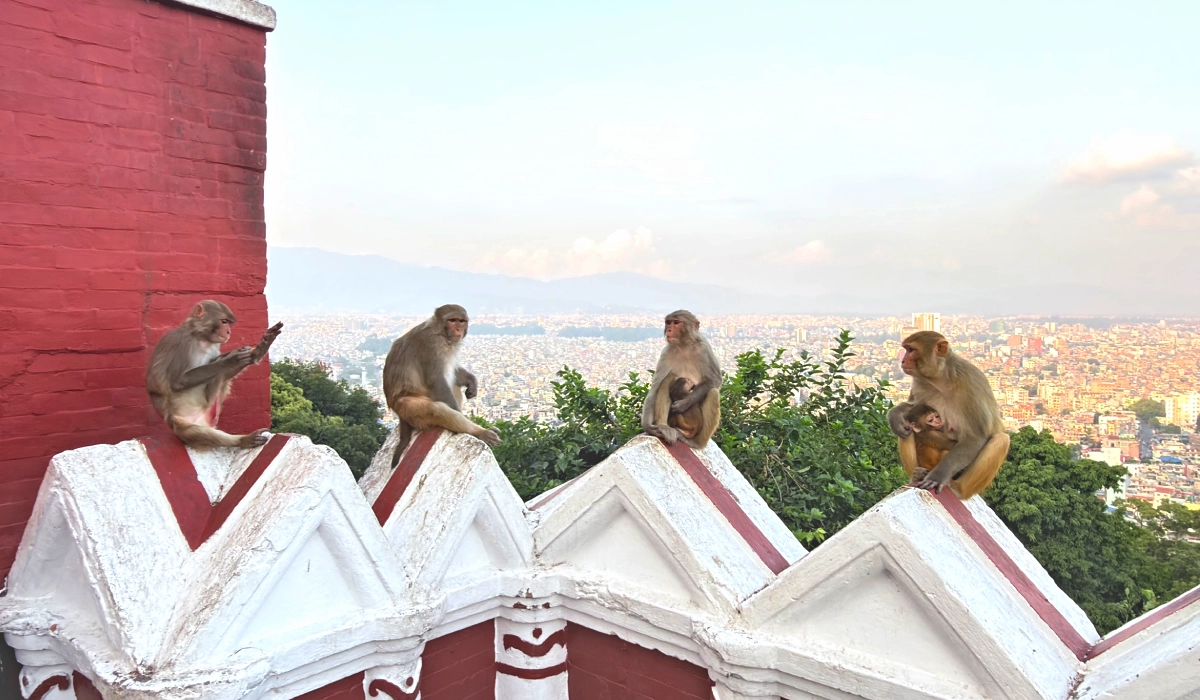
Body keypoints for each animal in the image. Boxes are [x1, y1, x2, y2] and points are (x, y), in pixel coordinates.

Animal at [146, 300, 283, 448]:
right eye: (224, 321)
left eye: (229, 323)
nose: (229, 331)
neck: (200, 337)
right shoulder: (181, 342)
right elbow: (177, 381)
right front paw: (232, 359)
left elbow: (217, 362)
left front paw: (257, 350)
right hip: (182, 424)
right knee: (195, 432)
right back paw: (243, 440)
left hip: (211, 405)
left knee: (219, 374)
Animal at [383, 304, 500, 466]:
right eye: (452, 320)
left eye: (461, 321)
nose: (458, 329)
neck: (440, 332)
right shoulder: (432, 345)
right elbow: (437, 380)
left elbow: (453, 371)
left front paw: (471, 381)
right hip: (407, 407)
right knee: (436, 409)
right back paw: (478, 432)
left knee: (453, 385)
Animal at [641, 310, 721, 449]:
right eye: (668, 322)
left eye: (676, 322)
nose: (669, 329)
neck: (684, 345)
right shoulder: (666, 353)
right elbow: (655, 390)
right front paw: (648, 427)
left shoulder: (704, 348)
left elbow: (715, 380)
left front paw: (684, 404)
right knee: (668, 379)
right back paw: (664, 427)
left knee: (713, 393)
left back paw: (696, 442)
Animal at [888, 331, 1010, 499]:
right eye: (906, 349)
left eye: (911, 350)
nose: (903, 360)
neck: (942, 380)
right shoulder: (920, 383)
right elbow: (913, 408)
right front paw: (895, 414)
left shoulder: (970, 383)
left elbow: (975, 436)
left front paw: (938, 476)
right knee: (906, 430)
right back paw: (915, 475)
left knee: (1001, 439)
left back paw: (958, 489)